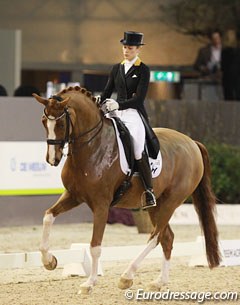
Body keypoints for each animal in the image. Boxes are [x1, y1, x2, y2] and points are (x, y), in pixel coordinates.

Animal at [32, 86, 220, 294]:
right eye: (43, 121)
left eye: (61, 123)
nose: (52, 159)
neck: (93, 146)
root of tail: (193, 142)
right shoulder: (73, 196)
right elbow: (48, 216)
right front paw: (49, 261)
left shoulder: (101, 205)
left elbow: (95, 245)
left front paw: (89, 283)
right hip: (156, 205)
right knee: (167, 238)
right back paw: (159, 282)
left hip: (171, 202)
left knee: (155, 237)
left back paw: (127, 276)